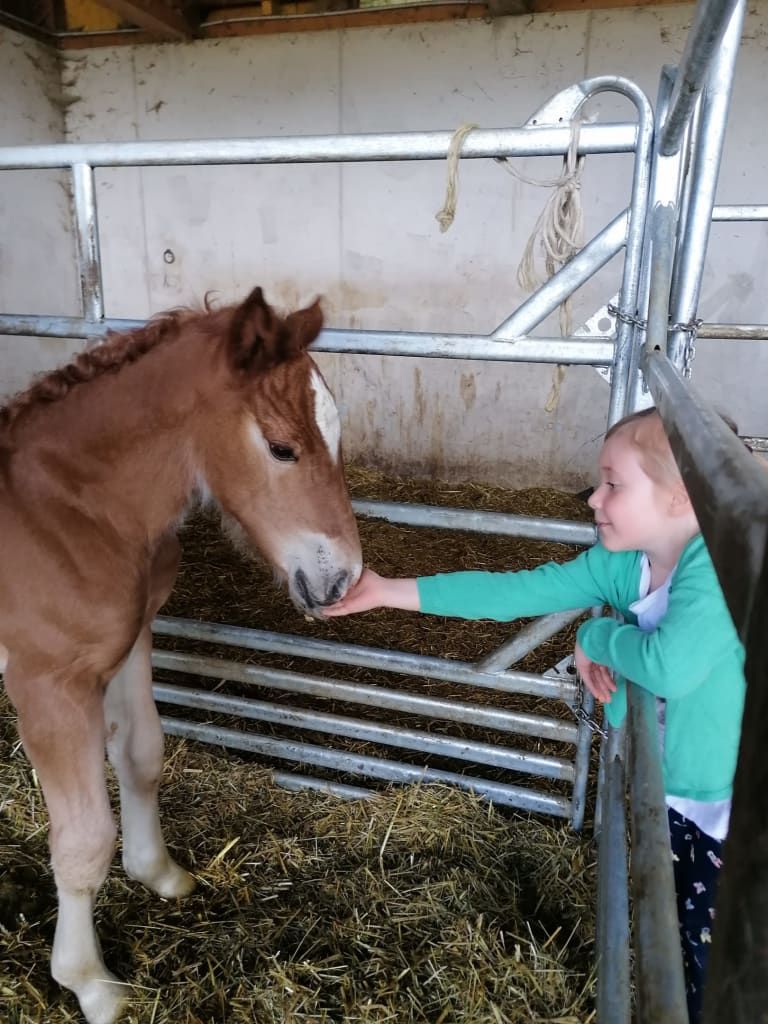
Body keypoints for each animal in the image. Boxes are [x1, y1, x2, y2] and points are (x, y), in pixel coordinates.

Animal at [0, 287, 362, 1024]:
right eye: (281, 447)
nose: (343, 578)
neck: (66, 513)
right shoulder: (47, 685)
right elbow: (83, 837)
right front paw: (89, 982)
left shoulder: (132, 639)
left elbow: (141, 753)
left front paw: (159, 873)